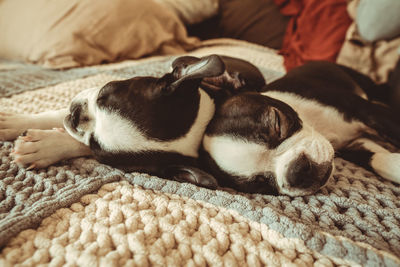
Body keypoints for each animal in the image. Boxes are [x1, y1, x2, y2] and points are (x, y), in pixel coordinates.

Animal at [202, 60, 400, 197]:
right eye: (261, 183)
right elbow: (378, 159)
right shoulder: (353, 146)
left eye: (277, 122)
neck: (316, 124)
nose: (296, 172)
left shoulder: (369, 112)